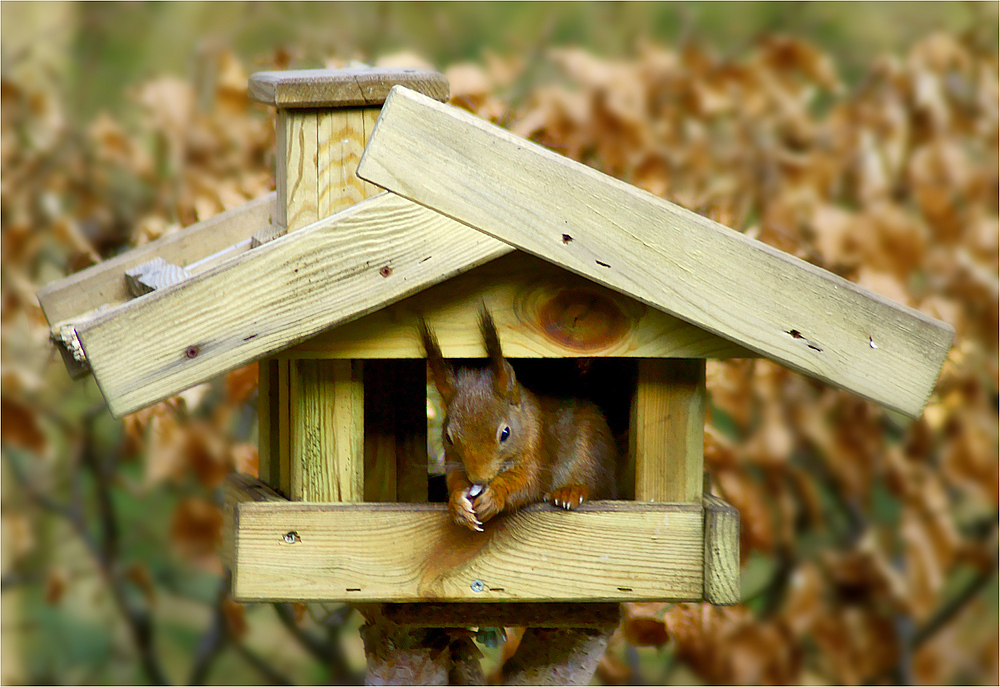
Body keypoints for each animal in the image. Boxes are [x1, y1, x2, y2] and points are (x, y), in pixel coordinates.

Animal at [416, 310, 616, 532]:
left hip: (590, 450)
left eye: (505, 433)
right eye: (449, 437)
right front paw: (458, 503)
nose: (479, 479)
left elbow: (528, 483)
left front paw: (495, 494)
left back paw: (570, 491)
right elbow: (454, 479)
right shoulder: (453, 459)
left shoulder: (536, 445)